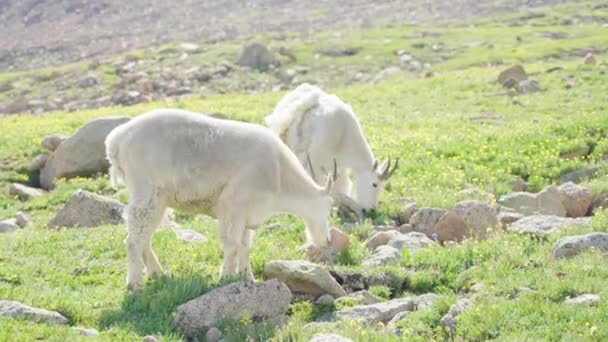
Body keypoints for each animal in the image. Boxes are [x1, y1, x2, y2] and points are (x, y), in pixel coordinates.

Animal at [102, 108, 334, 290]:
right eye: (329, 207)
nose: (327, 240)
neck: (279, 176)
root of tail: (116, 140)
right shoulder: (233, 205)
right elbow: (231, 243)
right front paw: (226, 277)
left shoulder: (248, 213)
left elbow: (244, 245)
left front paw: (248, 277)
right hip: (146, 191)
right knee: (133, 239)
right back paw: (135, 284)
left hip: (158, 199)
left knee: (144, 236)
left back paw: (158, 274)